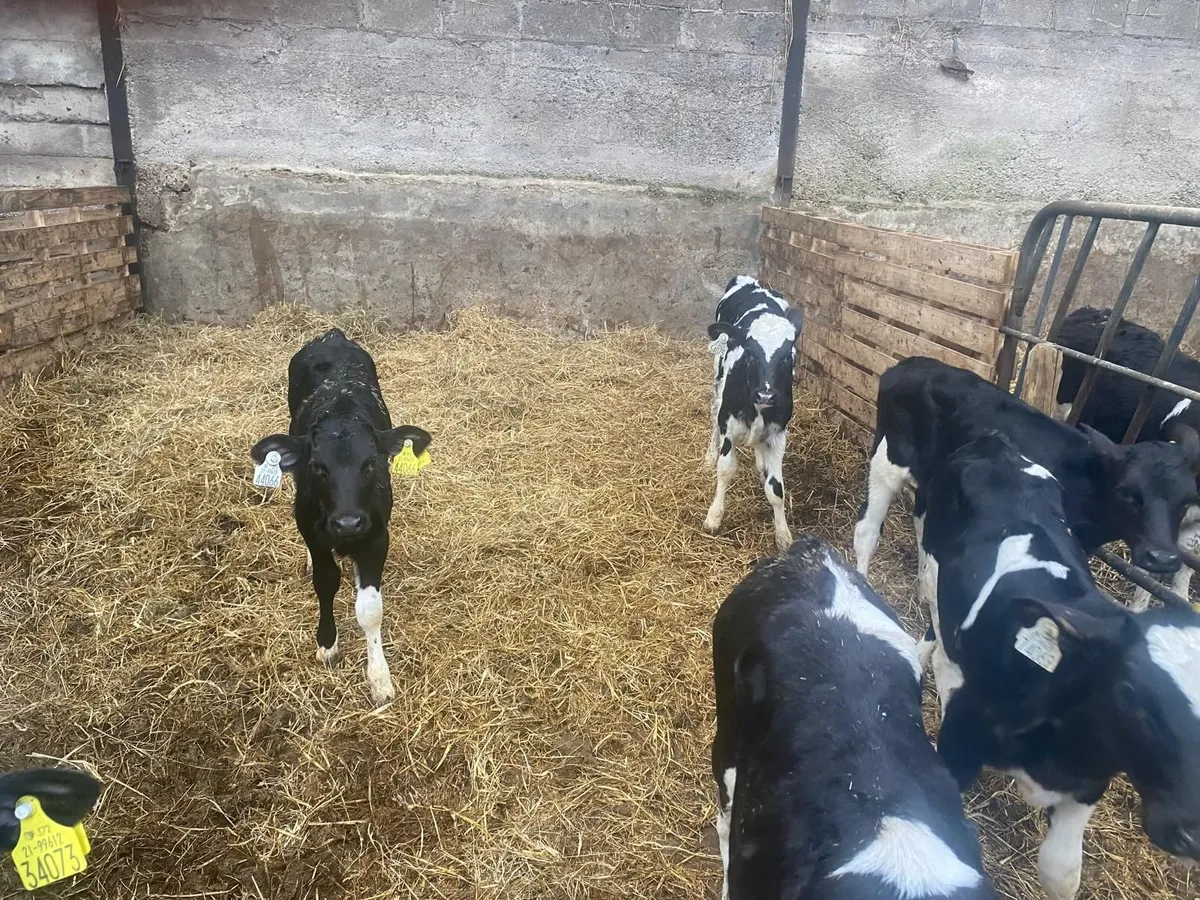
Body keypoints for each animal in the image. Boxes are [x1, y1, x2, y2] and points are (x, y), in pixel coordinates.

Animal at [251, 328, 432, 705]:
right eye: (317, 466)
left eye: (372, 462)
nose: (348, 523)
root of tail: (332, 335)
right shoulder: (313, 531)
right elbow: (326, 581)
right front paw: (327, 643)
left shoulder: (377, 536)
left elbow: (370, 609)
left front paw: (379, 677)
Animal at [703, 276, 805, 551]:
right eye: (749, 353)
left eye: (787, 355)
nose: (766, 395)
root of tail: (751, 280)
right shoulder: (728, 424)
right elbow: (726, 469)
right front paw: (714, 516)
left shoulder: (778, 434)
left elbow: (776, 488)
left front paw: (782, 534)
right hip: (718, 376)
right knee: (713, 409)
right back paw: (709, 454)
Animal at [853, 356, 1199, 583]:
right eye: (1126, 491)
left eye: (1186, 500)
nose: (1163, 558)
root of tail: (905, 365)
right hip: (888, 460)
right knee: (867, 529)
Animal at [917, 430, 1200, 900]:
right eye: (1129, 694)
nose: (1191, 834)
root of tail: (995, 443)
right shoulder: (960, 743)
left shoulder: (1088, 783)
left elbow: (1061, 870)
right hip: (933, 563)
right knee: (938, 640)